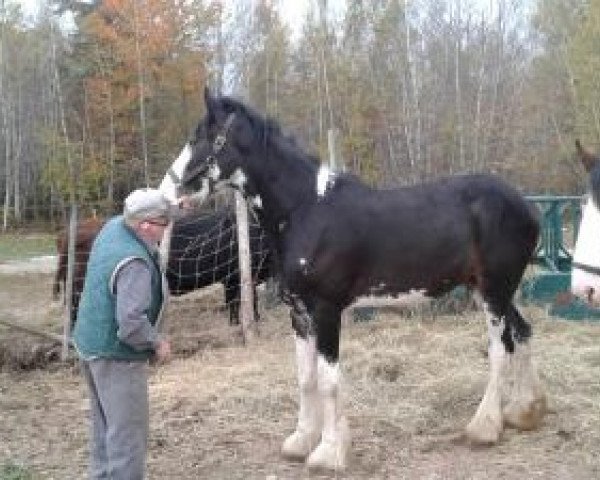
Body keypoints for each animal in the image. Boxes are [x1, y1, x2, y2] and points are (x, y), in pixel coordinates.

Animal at [176, 88, 548, 470]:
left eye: (205, 136)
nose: (176, 189)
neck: (308, 210)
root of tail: (526, 206)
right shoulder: (299, 312)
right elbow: (306, 378)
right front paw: (301, 441)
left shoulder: (326, 310)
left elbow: (329, 381)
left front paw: (328, 452)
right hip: (492, 290)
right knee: (522, 332)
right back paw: (525, 411)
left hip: (494, 291)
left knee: (500, 349)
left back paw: (484, 427)